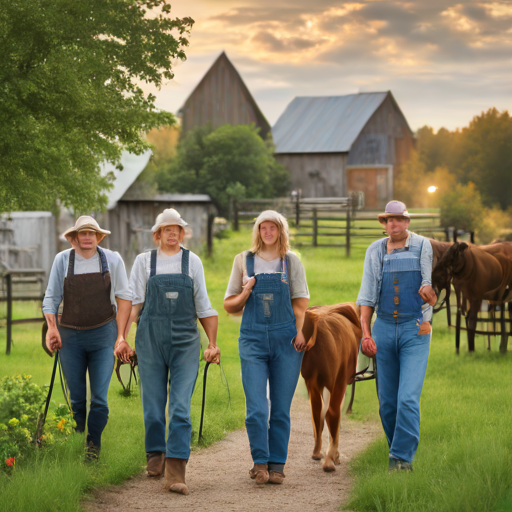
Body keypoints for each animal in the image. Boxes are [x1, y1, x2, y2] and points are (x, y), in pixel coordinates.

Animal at [300, 304, 360, 472]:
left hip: (313, 383)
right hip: (337, 381)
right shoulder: (338, 381)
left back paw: (317, 453)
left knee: (316, 412)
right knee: (331, 413)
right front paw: (336, 455)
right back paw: (329, 460)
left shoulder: (315, 383)